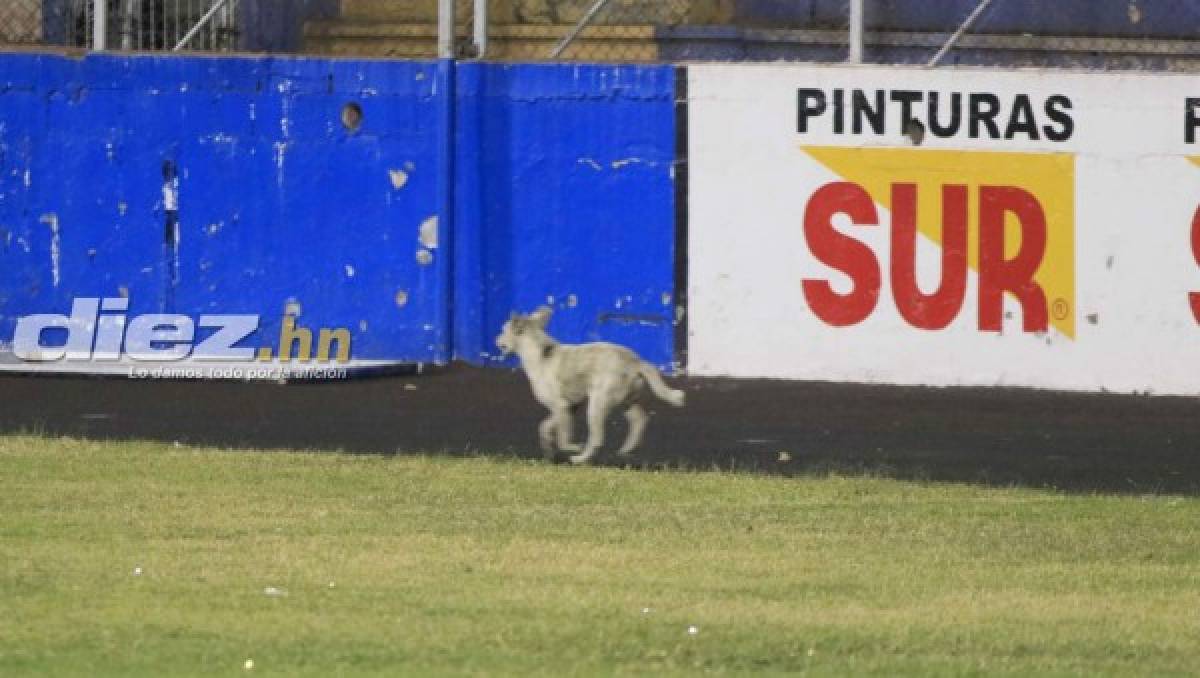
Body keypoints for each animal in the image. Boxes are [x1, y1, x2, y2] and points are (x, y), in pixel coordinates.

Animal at [494, 307, 686, 465]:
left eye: (502, 331)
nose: (496, 340)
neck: (540, 353)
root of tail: (636, 362)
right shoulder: (568, 408)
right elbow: (544, 427)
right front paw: (548, 450)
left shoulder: (561, 407)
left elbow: (563, 438)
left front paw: (572, 447)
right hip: (627, 401)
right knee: (639, 419)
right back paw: (627, 449)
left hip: (597, 405)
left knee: (597, 439)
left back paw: (580, 458)